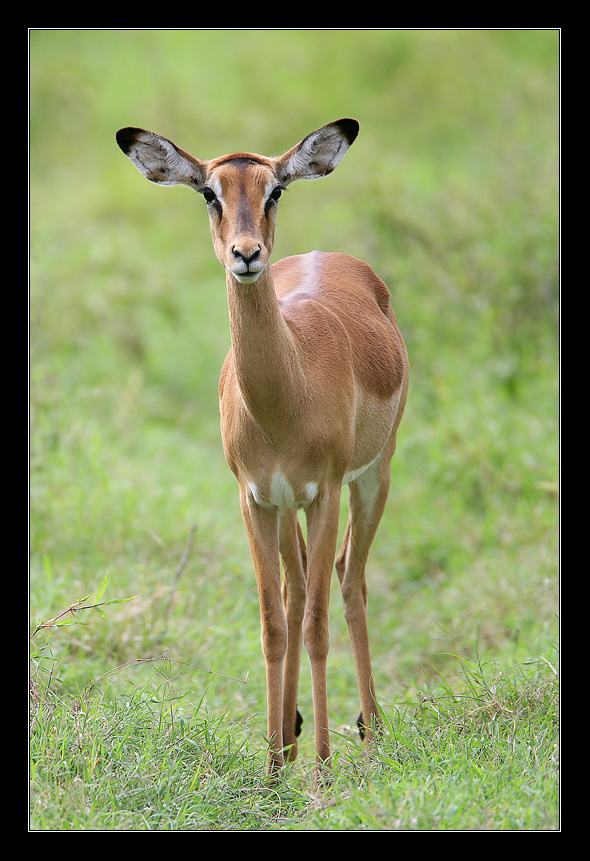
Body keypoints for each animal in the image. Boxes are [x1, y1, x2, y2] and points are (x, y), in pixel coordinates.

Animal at [116, 119, 409, 778]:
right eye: (209, 193)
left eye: (275, 190)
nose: (246, 255)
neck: (285, 394)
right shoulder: (255, 499)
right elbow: (274, 623)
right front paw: (274, 769)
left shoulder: (324, 492)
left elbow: (319, 624)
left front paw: (322, 774)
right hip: (287, 510)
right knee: (299, 593)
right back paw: (293, 739)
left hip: (370, 479)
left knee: (350, 581)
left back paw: (369, 734)